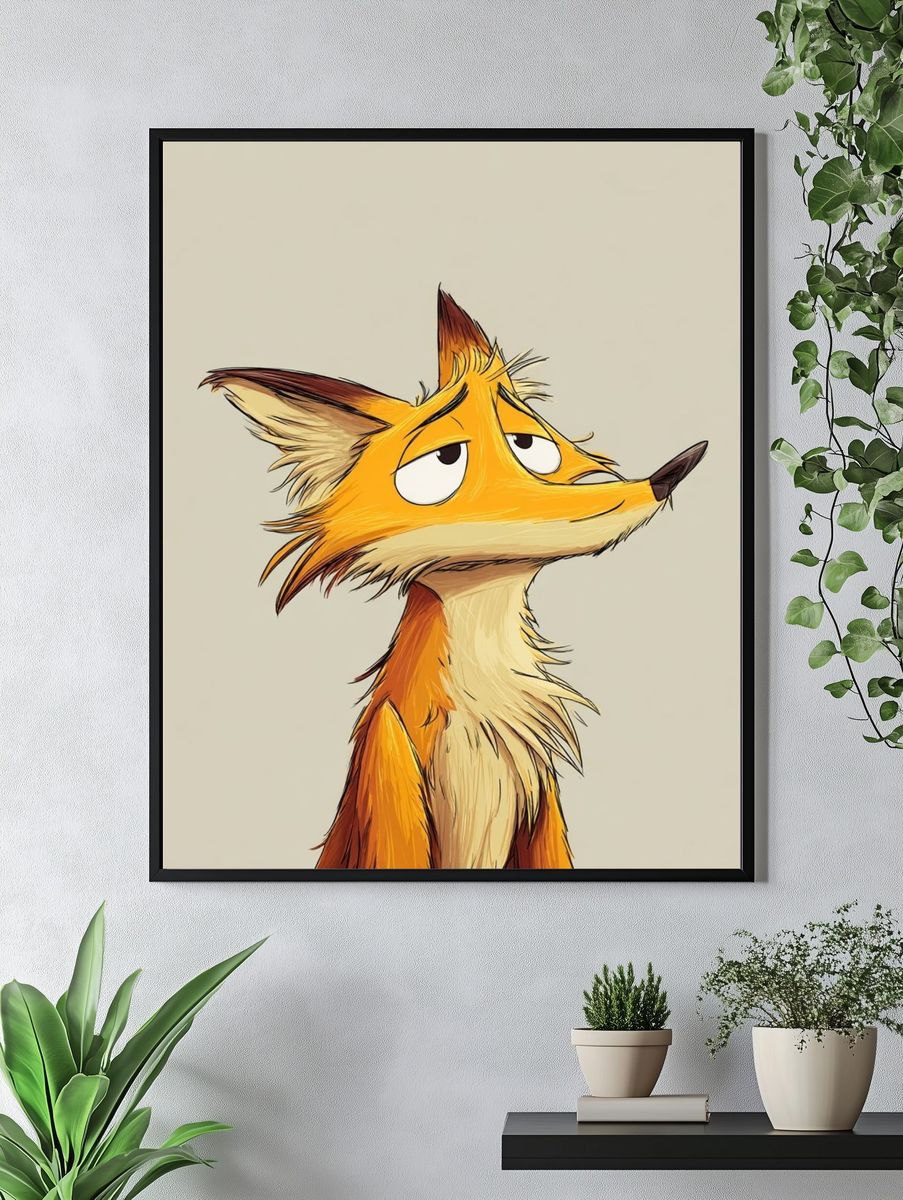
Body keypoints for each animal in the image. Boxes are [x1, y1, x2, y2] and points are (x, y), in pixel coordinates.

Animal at [203, 289, 706, 870]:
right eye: (446, 460)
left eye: (528, 445)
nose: (667, 476)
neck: (481, 709)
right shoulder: (389, 768)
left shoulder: (541, 799)